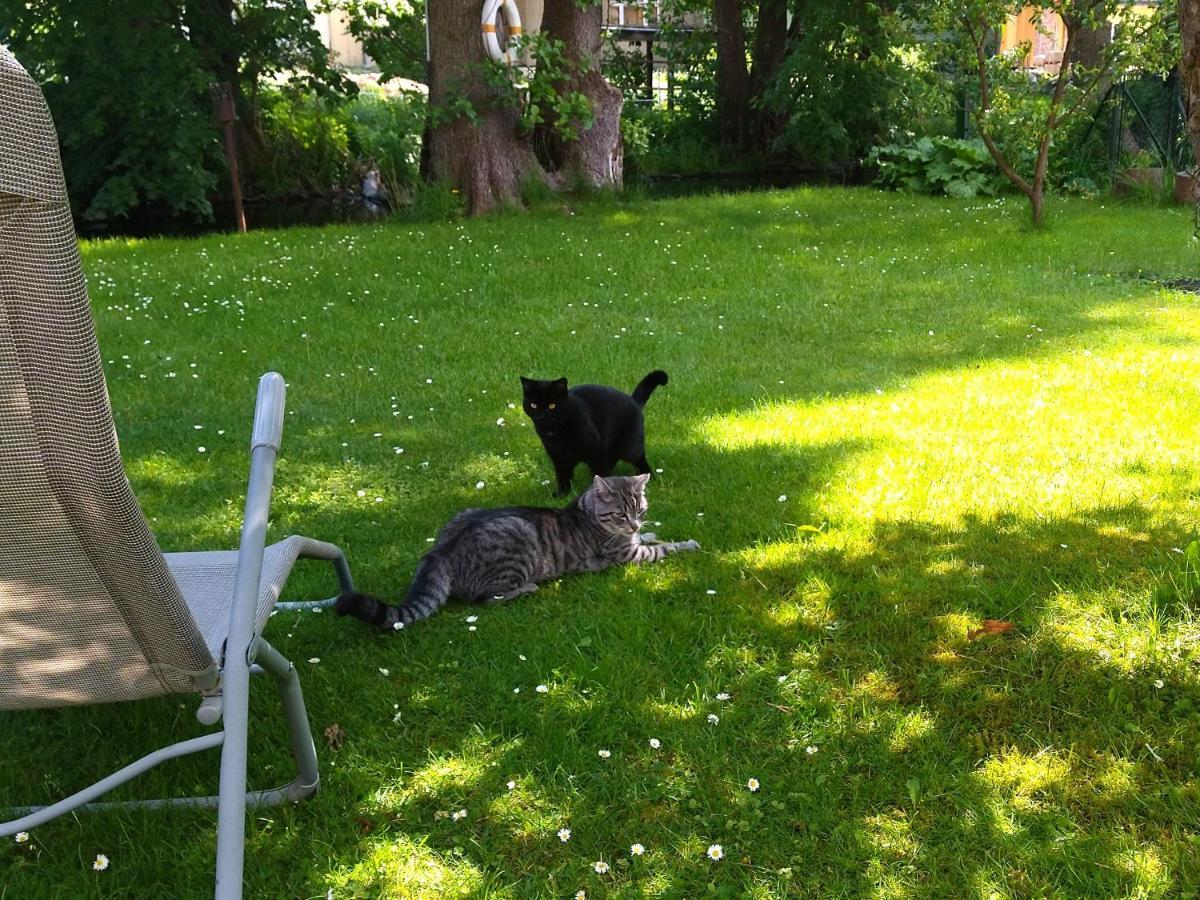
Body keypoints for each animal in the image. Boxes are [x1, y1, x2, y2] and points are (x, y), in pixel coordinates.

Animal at [333, 475, 700, 628]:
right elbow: (662, 549)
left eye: (640, 510)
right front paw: (686, 543)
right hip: (518, 544)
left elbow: (652, 539)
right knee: (485, 598)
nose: (634, 525)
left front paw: (651, 531)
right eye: (621, 514)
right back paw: (527, 588)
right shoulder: (627, 557)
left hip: (464, 512)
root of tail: (439, 554)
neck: (588, 512)